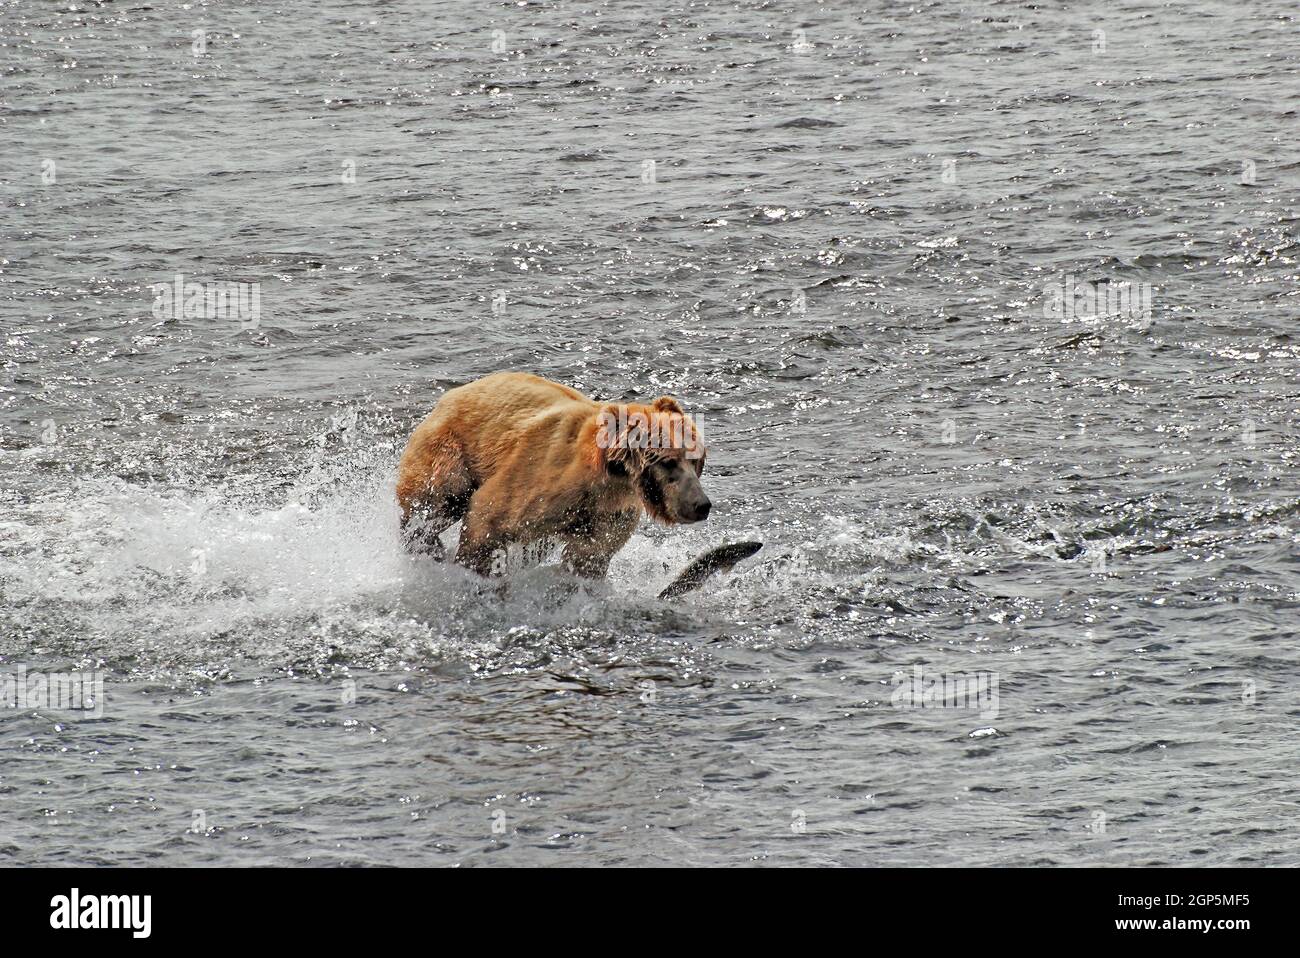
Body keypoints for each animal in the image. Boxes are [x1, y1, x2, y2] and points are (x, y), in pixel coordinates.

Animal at [395, 369, 712, 574]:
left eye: (696, 460)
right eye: (668, 461)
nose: (701, 505)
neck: (608, 479)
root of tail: (450, 395)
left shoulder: (608, 513)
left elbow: (588, 557)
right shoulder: (539, 478)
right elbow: (487, 521)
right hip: (451, 450)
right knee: (435, 503)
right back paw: (426, 544)